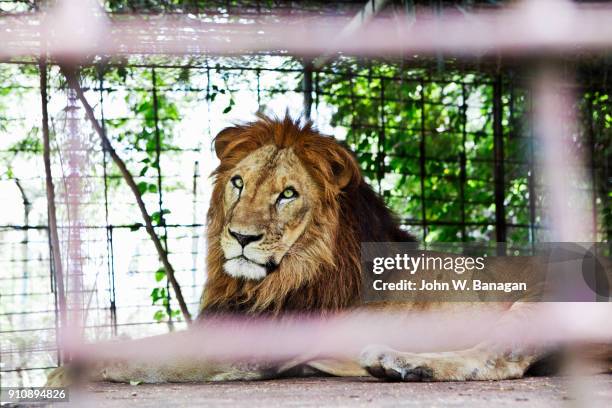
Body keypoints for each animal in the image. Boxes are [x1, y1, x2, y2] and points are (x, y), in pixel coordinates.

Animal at [46, 114, 608, 386]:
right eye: (237, 183)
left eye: (288, 194)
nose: (241, 238)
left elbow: (135, 355)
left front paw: (60, 372)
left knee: (502, 359)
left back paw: (401, 362)